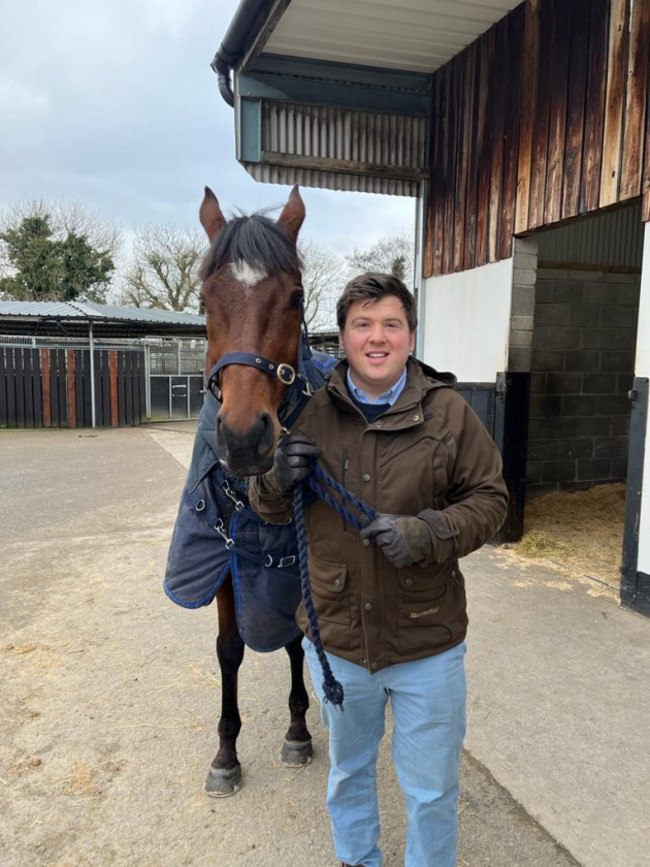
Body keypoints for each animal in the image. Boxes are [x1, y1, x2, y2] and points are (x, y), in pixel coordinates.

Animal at [162, 186, 324, 796]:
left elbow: (295, 635)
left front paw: (298, 730)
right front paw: (226, 753)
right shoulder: (224, 560)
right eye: (205, 300)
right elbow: (229, 649)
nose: (244, 437)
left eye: (296, 297)